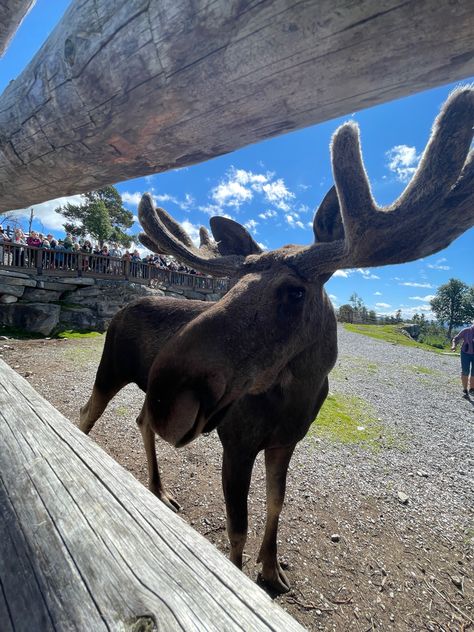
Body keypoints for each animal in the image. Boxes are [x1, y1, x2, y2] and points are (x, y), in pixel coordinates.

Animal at [81, 87, 474, 592]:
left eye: (295, 291)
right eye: (228, 286)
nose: (171, 395)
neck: (297, 396)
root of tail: (122, 308)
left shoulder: (286, 441)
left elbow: (275, 505)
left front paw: (272, 570)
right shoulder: (236, 442)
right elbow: (237, 527)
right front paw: (241, 577)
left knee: (140, 421)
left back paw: (159, 490)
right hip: (110, 370)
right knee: (88, 415)